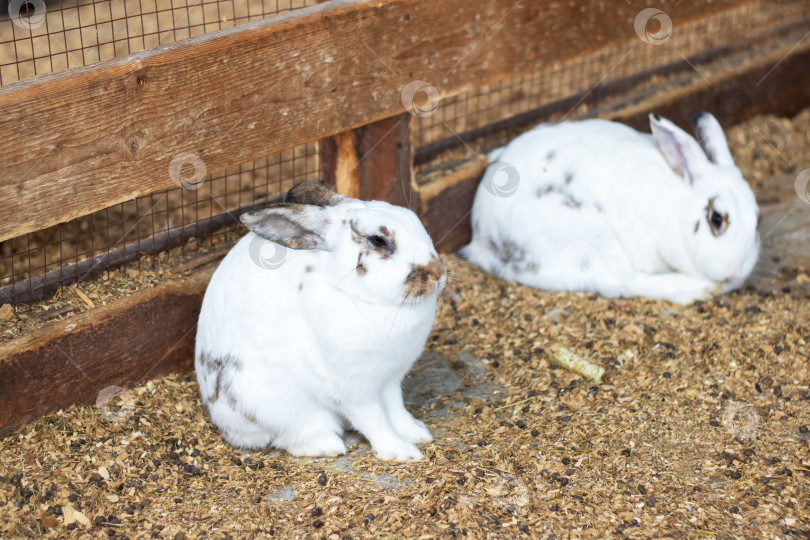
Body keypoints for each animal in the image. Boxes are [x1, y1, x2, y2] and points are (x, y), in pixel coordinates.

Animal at [196, 181, 448, 460]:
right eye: (378, 240)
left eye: (413, 218)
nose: (438, 273)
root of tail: (223, 423)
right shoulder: (354, 390)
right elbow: (375, 420)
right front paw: (401, 452)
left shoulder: (390, 380)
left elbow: (396, 409)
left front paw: (417, 433)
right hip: (278, 409)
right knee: (289, 437)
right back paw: (326, 444)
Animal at [460, 112, 756, 306]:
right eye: (716, 219)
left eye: (757, 220)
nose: (736, 271)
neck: (679, 205)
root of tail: (481, 238)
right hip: (592, 234)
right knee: (622, 281)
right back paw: (697, 288)